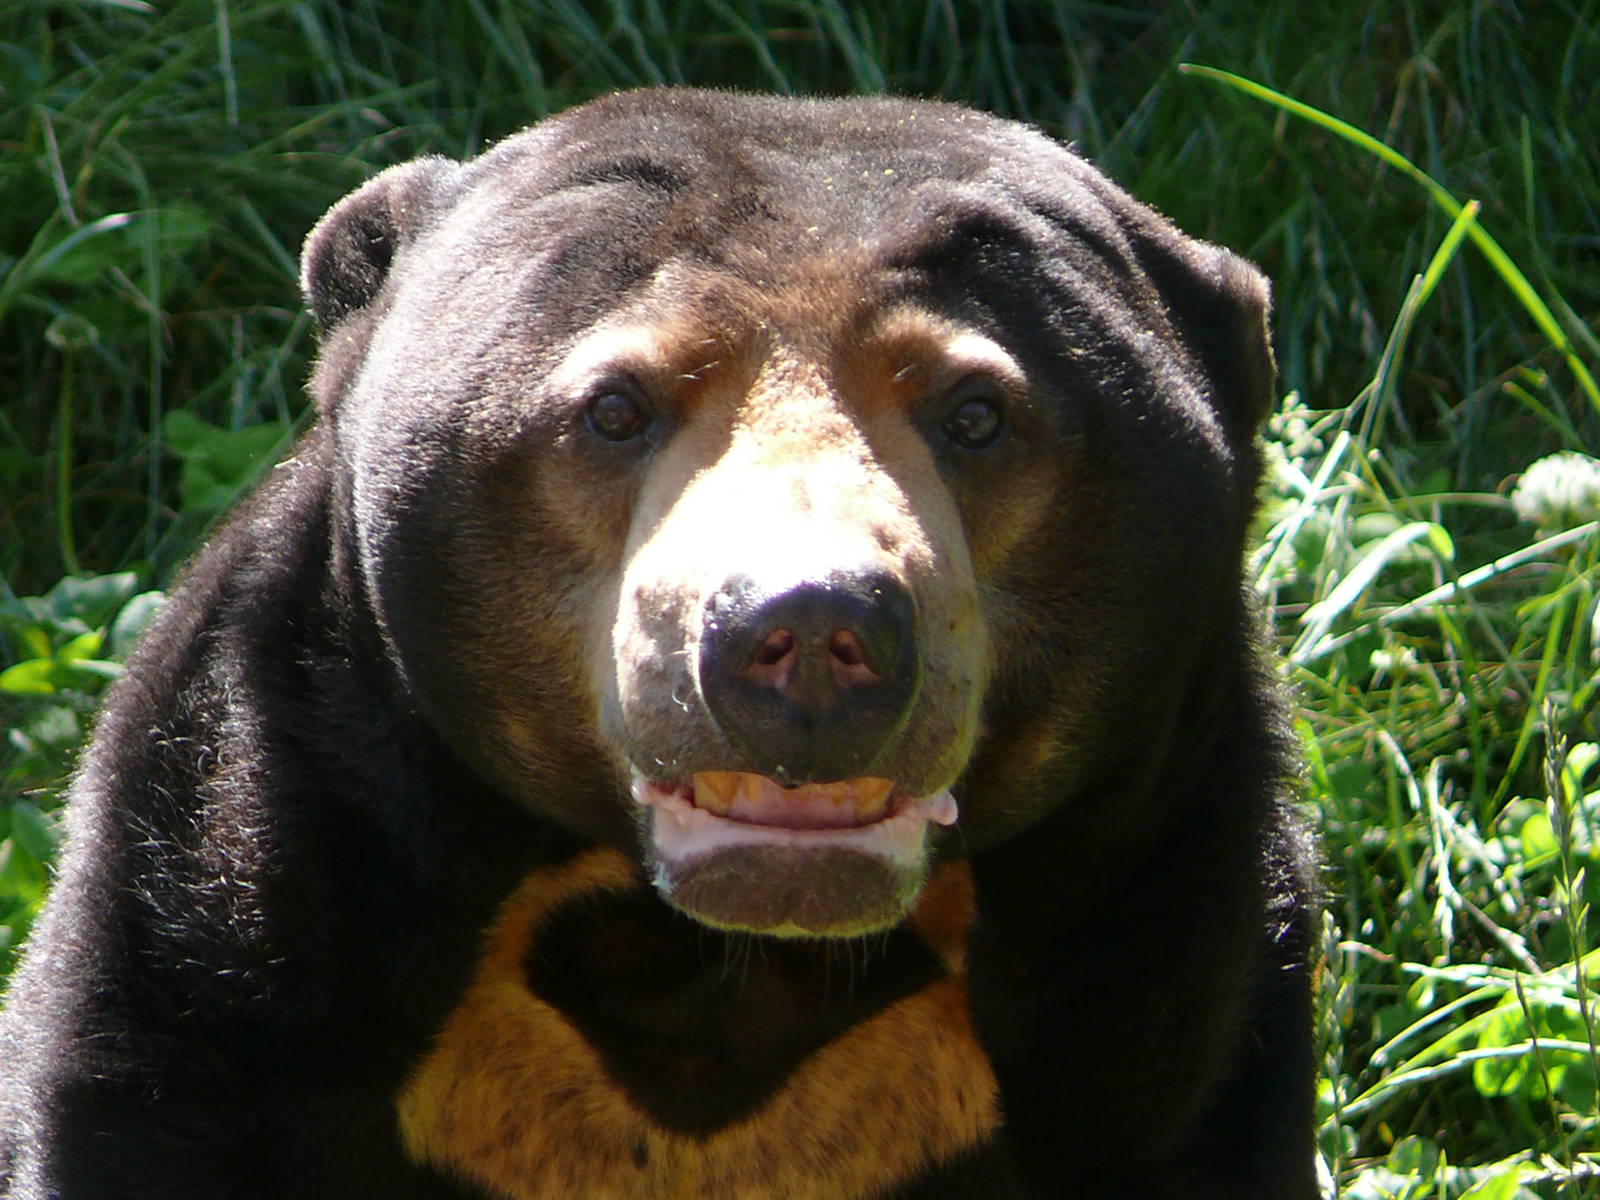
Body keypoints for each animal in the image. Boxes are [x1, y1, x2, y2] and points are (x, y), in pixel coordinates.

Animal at [0, 89, 1319, 1198]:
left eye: (977, 414)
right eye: (614, 408)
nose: (810, 628)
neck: (716, 969)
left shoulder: (1174, 975)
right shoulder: (227, 906)